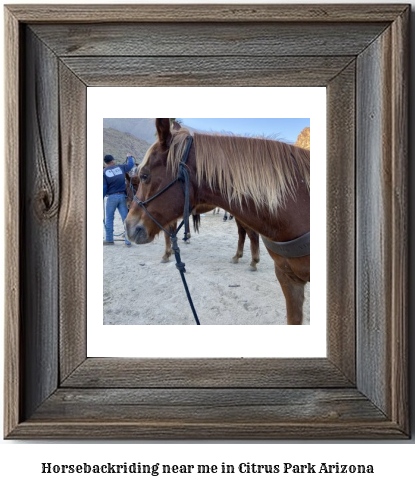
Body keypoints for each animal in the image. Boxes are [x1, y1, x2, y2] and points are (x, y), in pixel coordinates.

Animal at [125, 118, 310, 324]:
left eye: (144, 175)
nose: (128, 225)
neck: (298, 205)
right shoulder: (288, 279)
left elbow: (168, 236)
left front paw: (166, 254)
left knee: (249, 234)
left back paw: (251, 261)